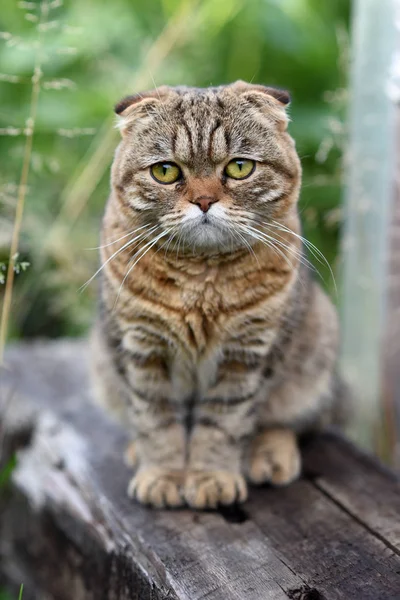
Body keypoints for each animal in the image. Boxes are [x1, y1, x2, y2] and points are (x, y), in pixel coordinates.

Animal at [92, 81, 348, 510]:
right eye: (165, 171)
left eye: (239, 167)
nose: (204, 201)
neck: (201, 281)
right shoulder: (141, 349)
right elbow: (156, 421)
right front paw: (163, 475)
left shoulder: (247, 356)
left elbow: (223, 424)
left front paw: (210, 477)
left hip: (315, 361)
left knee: (292, 424)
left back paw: (270, 455)